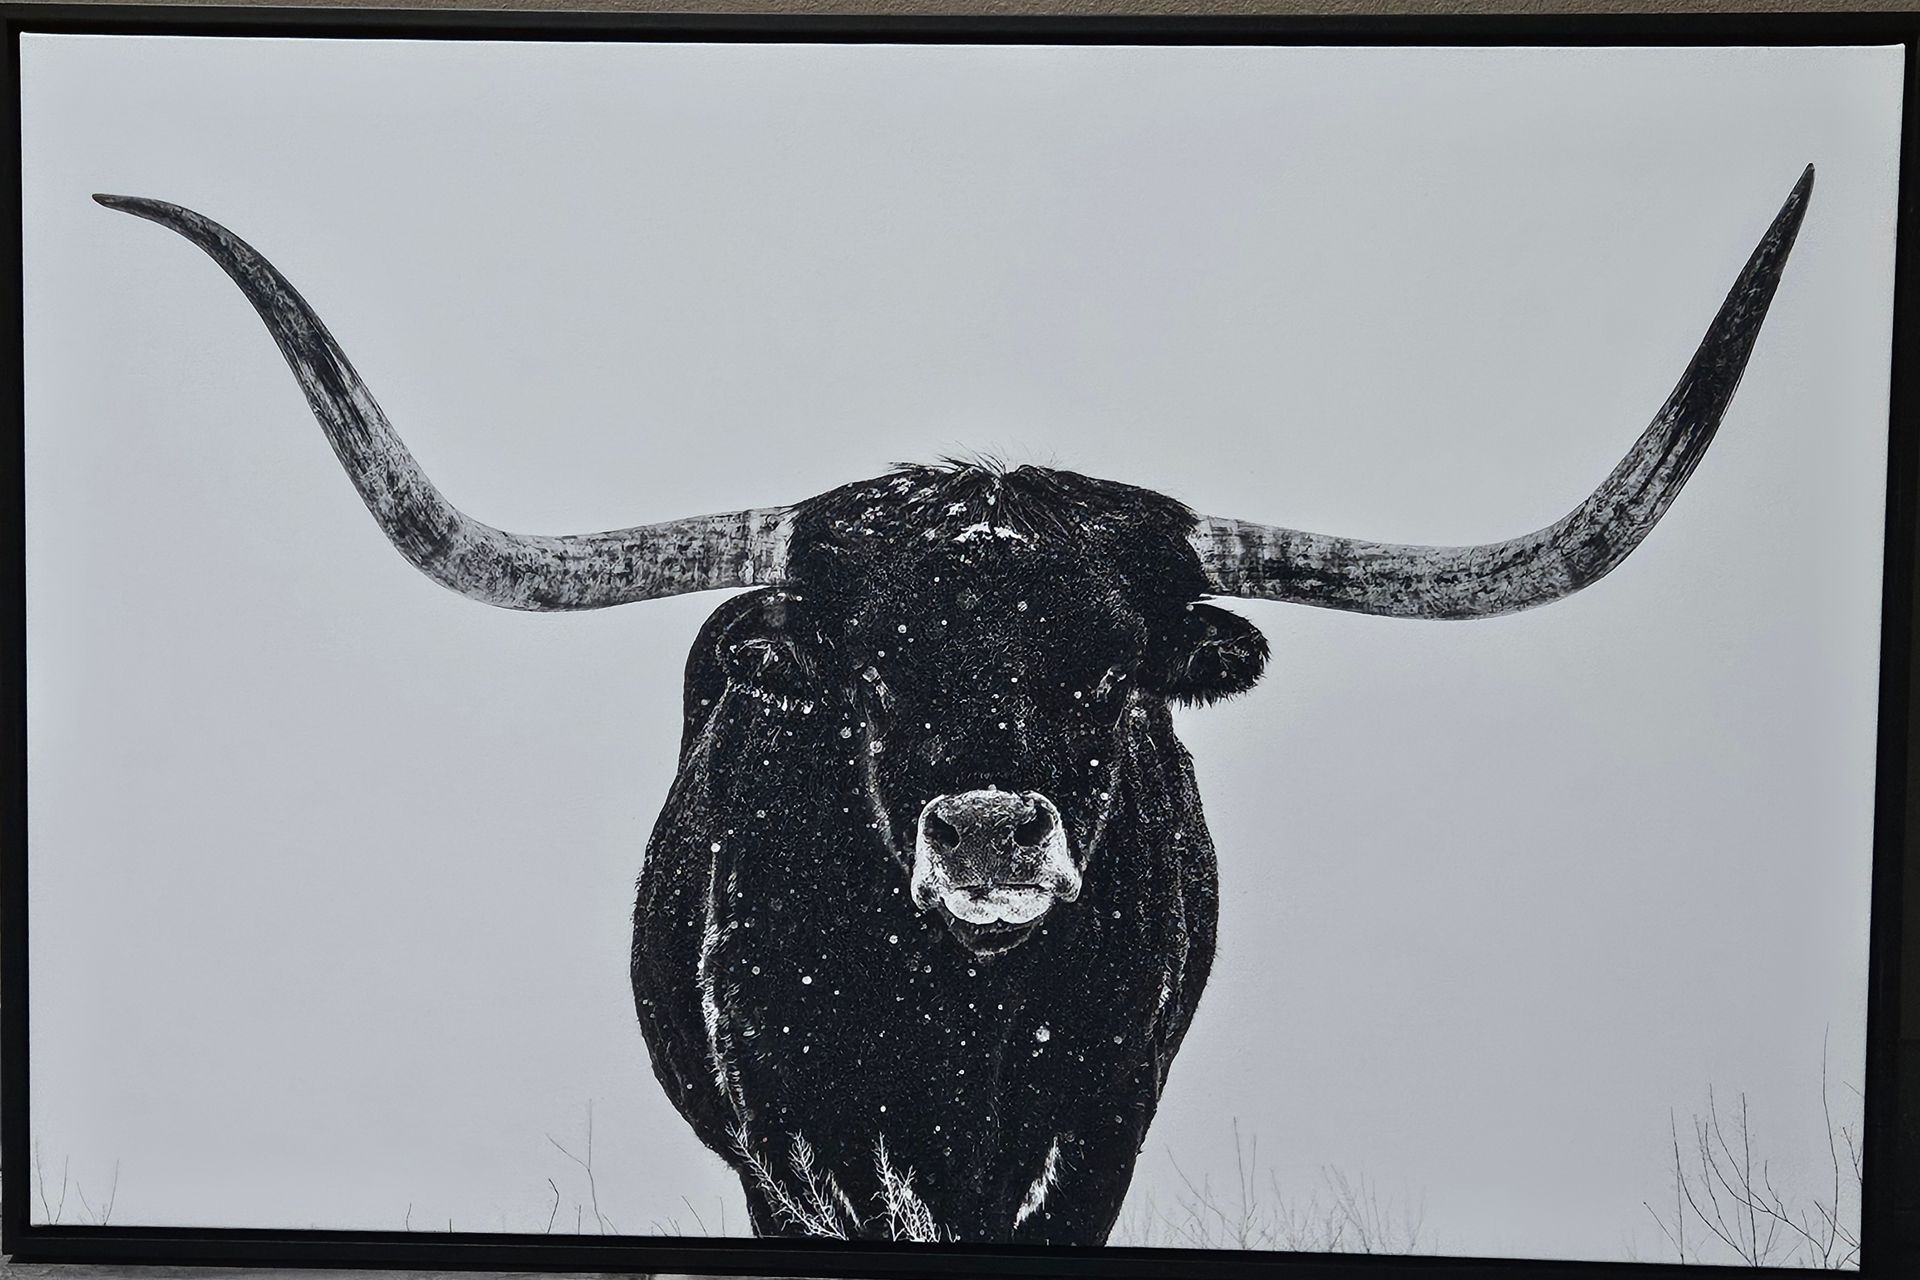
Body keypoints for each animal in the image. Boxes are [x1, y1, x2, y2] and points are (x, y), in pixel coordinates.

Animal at [93, 164, 1810, 1246]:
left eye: (1109, 674)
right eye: (872, 672)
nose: (989, 834)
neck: (965, 1021)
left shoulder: (1099, 1129)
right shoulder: (803, 1146)